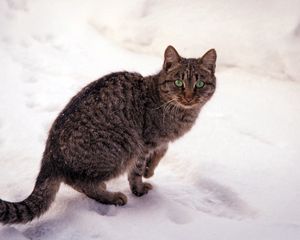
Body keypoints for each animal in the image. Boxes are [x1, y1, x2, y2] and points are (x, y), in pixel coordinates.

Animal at [0, 46, 216, 224]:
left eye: (200, 84)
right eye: (179, 82)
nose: (188, 96)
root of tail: (50, 157)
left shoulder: (159, 142)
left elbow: (162, 151)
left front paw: (150, 169)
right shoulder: (144, 144)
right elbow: (136, 172)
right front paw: (140, 187)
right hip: (123, 148)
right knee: (78, 182)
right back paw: (111, 197)